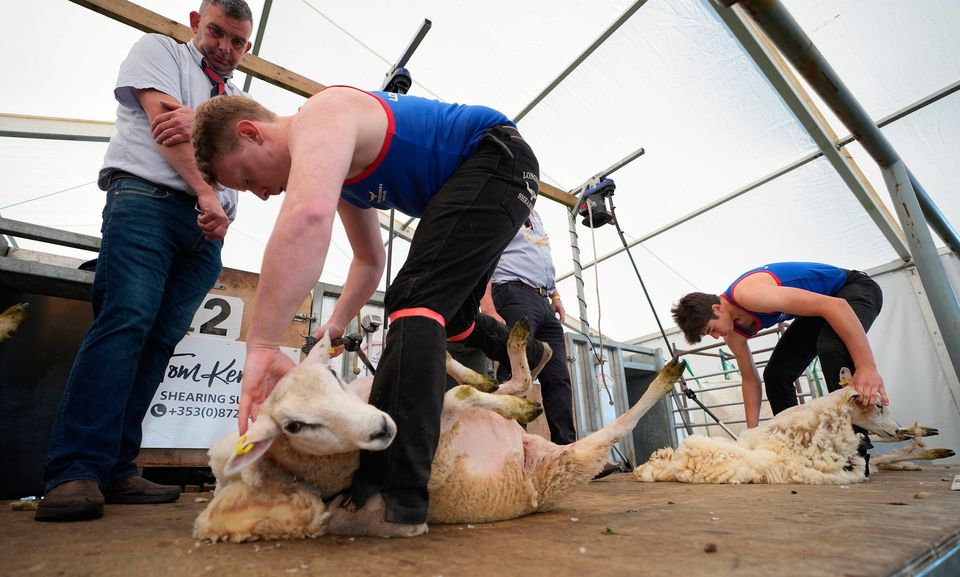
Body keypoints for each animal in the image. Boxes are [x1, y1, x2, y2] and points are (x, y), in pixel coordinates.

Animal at [195, 320, 688, 540]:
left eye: (332, 377)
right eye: (295, 426)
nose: (383, 428)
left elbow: (469, 391)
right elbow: (461, 398)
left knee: (511, 380)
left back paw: (507, 354)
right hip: (567, 465)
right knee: (612, 427)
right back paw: (667, 373)